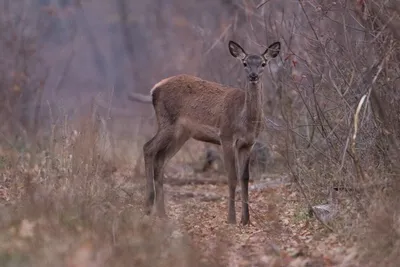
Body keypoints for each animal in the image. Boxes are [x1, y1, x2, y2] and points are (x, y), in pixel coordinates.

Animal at [131, 40, 282, 225]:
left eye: (263, 63)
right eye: (245, 63)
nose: (253, 76)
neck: (245, 119)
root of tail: (154, 89)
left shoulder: (248, 143)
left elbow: (245, 177)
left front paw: (246, 220)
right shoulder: (226, 136)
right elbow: (232, 176)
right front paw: (231, 219)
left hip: (181, 133)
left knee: (160, 159)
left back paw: (162, 213)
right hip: (168, 123)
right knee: (148, 147)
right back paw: (148, 206)